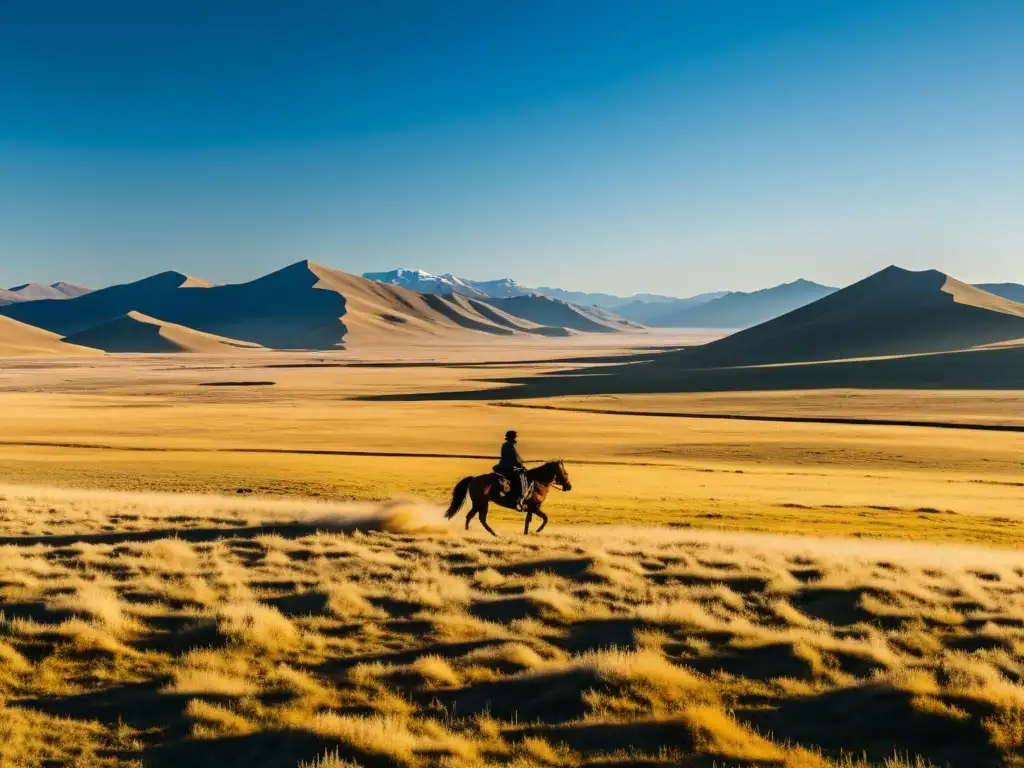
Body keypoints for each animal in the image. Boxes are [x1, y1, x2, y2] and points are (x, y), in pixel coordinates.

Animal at [442, 460, 573, 536]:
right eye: (565, 473)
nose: (569, 486)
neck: (537, 482)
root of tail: (473, 479)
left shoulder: (532, 508)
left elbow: (528, 521)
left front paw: (526, 534)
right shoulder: (534, 507)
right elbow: (545, 518)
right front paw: (537, 531)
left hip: (478, 503)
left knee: (471, 516)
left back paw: (470, 532)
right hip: (482, 503)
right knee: (480, 518)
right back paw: (493, 534)